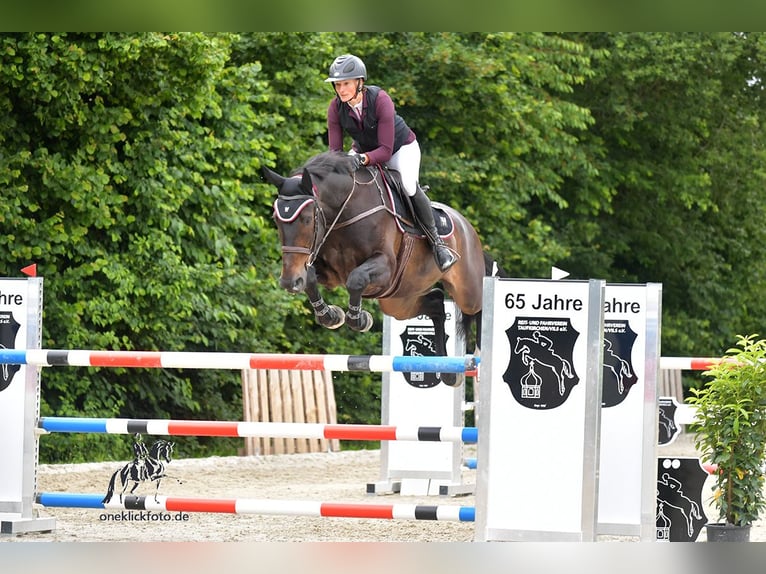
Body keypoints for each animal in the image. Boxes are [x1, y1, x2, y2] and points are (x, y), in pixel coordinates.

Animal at [264, 153, 488, 388]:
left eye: (307, 219)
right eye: (276, 219)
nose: (288, 282)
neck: (344, 213)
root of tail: (465, 224)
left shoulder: (385, 267)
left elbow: (356, 279)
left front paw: (359, 319)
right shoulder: (329, 272)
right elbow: (310, 279)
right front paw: (331, 315)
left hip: (467, 291)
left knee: (478, 306)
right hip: (398, 299)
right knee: (435, 302)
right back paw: (447, 372)